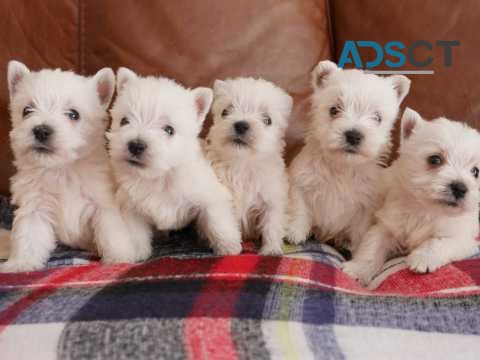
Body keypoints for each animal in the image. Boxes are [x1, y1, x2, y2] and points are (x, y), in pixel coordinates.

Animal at [0, 61, 135, 272]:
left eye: (74, 115)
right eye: (27, 111)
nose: (41, 130)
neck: (62, 169)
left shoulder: (103, 206)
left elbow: (112, 233)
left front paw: (120, 257)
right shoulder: (35, 208)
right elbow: (29, 237)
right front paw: (21, 264)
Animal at [109, 68, 244, 258]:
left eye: (169, 130)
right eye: (124, 121)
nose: (135, 145)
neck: (160, 176)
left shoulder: (210, 196)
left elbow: (217, 221)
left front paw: (229, 247)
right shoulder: (131, 208)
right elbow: (137, 234)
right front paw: (138, 253)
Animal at [203, 77, 290, 255]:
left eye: (267, 120)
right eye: (225, 111)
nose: (241, 125)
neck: (242, 163)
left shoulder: (272, 200)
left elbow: (272, 225)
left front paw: (271, 250)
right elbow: (221, 222)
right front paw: (228, 247)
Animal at [286, 60, 410, 253]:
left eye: (377, 117)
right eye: (334, 110)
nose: (353, 135)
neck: (342, 166)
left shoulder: (366, 205)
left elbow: (360, 230)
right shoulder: (301, 181)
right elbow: (299, 207)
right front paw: (294, 232)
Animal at [344, 108, 480, 286]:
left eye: (476, 171)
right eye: (435, 159)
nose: (460, 187)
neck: (424, 209)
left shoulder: (462, 238)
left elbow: (438, 242)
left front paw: (423, 259)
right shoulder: (385, 227)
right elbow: (370, 249)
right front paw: (356, 270)